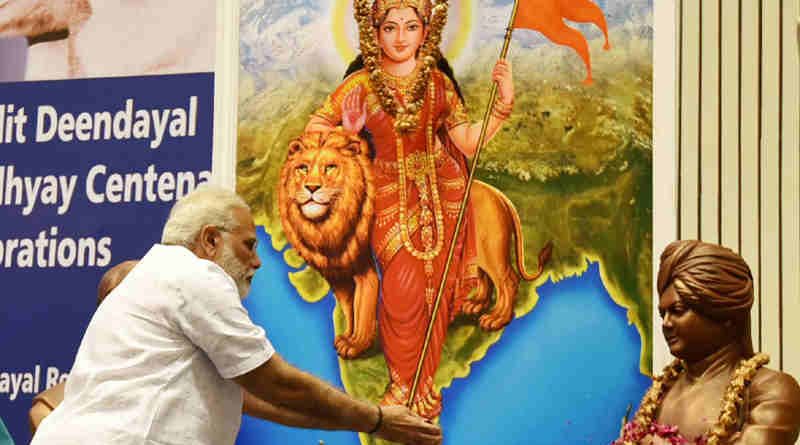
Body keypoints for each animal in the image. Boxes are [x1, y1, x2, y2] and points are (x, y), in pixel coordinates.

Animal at [278, 127, 552, 358]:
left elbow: (362, 308)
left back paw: (497, 319)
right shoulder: (339, 275)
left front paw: (356, 344)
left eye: (330, 168)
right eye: (302, 168)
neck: (328, 224)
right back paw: (475, 305)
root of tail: (500, 196)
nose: (311, 187)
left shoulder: (366, 272)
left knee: (508, 281)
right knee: (484, 278)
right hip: (477, 252)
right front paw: (347, 336)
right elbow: (348, 309)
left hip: (491, 251)